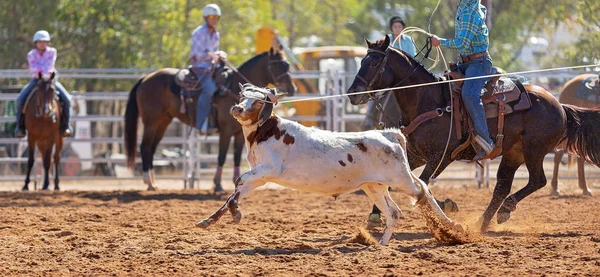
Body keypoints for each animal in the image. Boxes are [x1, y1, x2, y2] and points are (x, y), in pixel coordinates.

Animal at [197, 83, 464, 244]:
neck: (267, 131)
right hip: (374, 186)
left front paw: (236, 214)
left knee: (422, 191)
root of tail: (388, 134)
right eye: (243, 96)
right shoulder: (260, 177)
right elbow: (237, 191)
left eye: (260, 101)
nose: (237, 108)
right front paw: (210, 220)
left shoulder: (268, 169)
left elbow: (238, 181)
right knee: (394, 211)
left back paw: (451, 227)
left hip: (400, 178)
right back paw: (381, 244)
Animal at [344, 35, 600, 232]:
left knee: (537, 180)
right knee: (501, 187)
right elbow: (393, 182)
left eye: (374, 64)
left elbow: (423, 184)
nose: (352, 94)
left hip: (534, 150)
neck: (429, 101)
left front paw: (446, 205)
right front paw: (375, 214)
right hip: (513, 153)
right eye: (362, 61)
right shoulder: (416, 154)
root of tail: (560, 106)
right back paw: (483, 222)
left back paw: (505, 210)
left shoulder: (442, 155)